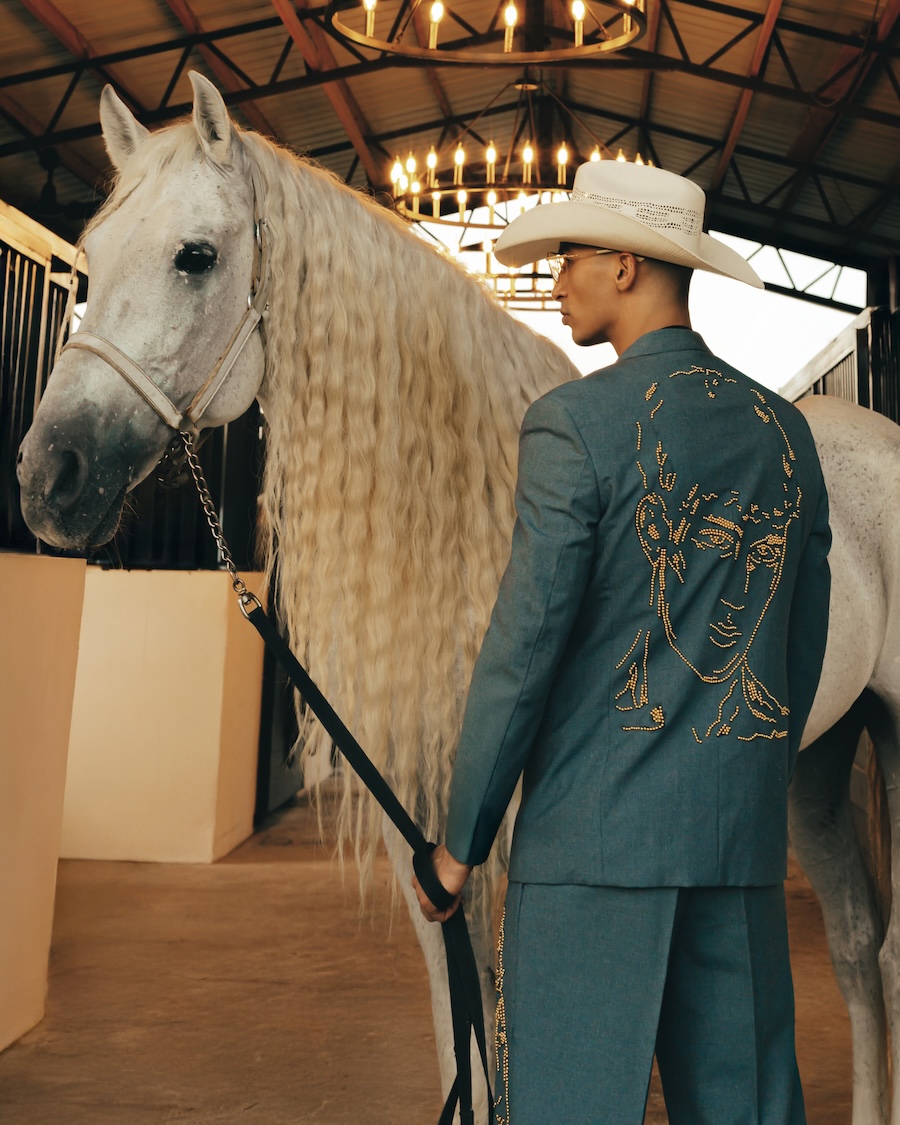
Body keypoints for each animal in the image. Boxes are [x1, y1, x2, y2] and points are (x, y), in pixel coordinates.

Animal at [14, 73, 900, 1124]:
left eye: (196, 256)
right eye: (93, 255)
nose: (48, 477)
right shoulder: (431, 847)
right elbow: (461, 1041)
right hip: (812, 762)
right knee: (855, 941)